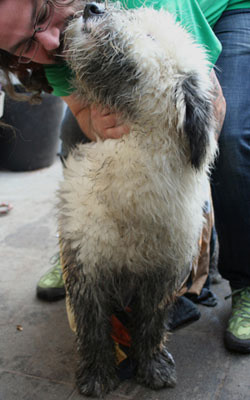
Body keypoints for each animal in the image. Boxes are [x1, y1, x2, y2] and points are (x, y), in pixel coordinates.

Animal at [58, 2, 217, 396]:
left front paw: (153, 366)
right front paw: (97, 375)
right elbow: (93, 328)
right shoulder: (87, 265)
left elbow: (150, 325)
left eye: (148, 36)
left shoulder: (160, 274)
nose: (91, 7)